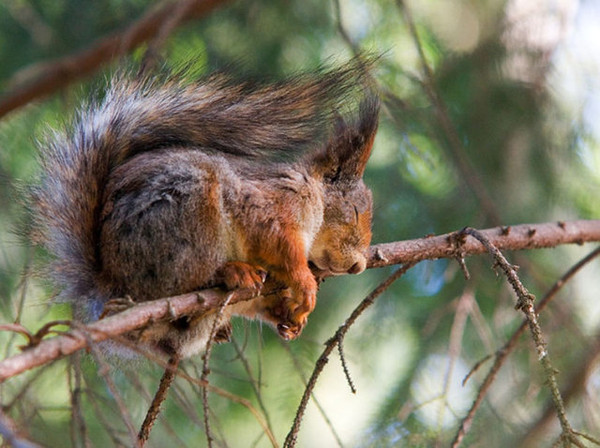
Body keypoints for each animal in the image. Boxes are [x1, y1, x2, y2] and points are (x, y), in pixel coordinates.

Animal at [29, 57, 380, 358]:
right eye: (355, 213)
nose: (359, 266)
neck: (313, 196)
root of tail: (113, 283)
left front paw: (291, 316)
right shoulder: (272, 204)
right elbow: (277, 243)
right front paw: (305, 284)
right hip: (189, 214)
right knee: (185, 278)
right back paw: (231, 272)